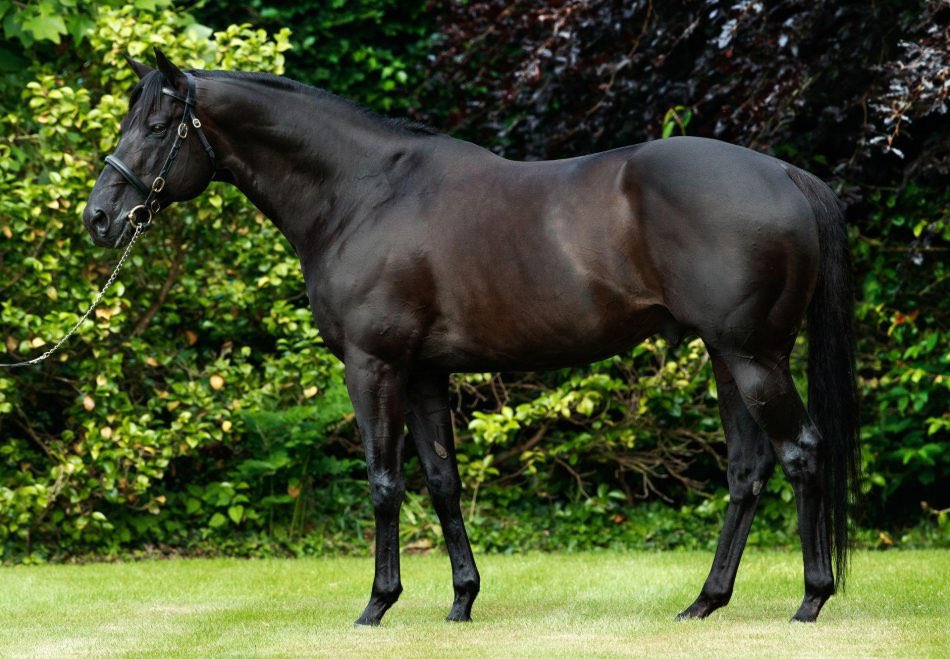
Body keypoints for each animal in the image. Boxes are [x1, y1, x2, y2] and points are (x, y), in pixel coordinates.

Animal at [83, 48, 859, 626]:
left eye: (159, 124)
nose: (99, 218)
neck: (363, 194)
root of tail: (784, 172)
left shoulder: (374, 366)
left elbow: (385, 482)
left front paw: (377, 605)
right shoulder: (425, 372)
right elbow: (442, 482)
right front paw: (461, 600)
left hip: (752, 357)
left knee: (801, 452)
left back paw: (810, 599)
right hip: (728, 357)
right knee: (747, 471)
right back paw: (705, 601)